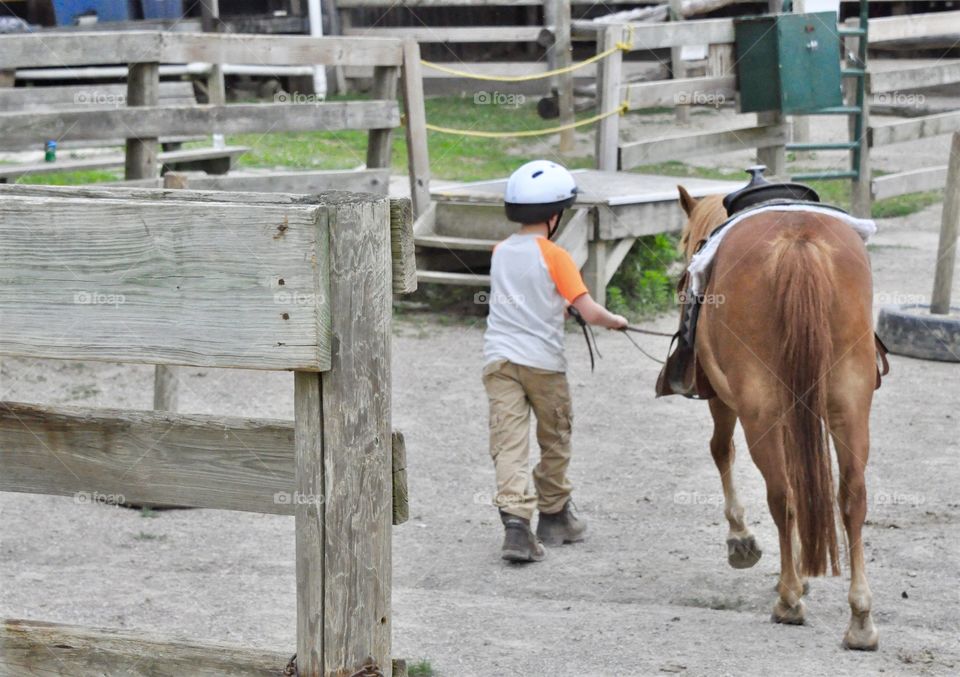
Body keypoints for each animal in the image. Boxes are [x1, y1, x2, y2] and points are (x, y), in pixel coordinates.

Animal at [676, 186, 876, 648]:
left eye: (684, 242)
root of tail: (797, 241)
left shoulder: (723, 400)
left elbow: (721, 450)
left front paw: (742, 540)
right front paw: (804, 570)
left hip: (759, 408)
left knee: (781, 494)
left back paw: (788, 600)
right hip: (849, 404)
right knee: (851, 496)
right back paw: (860, 619)